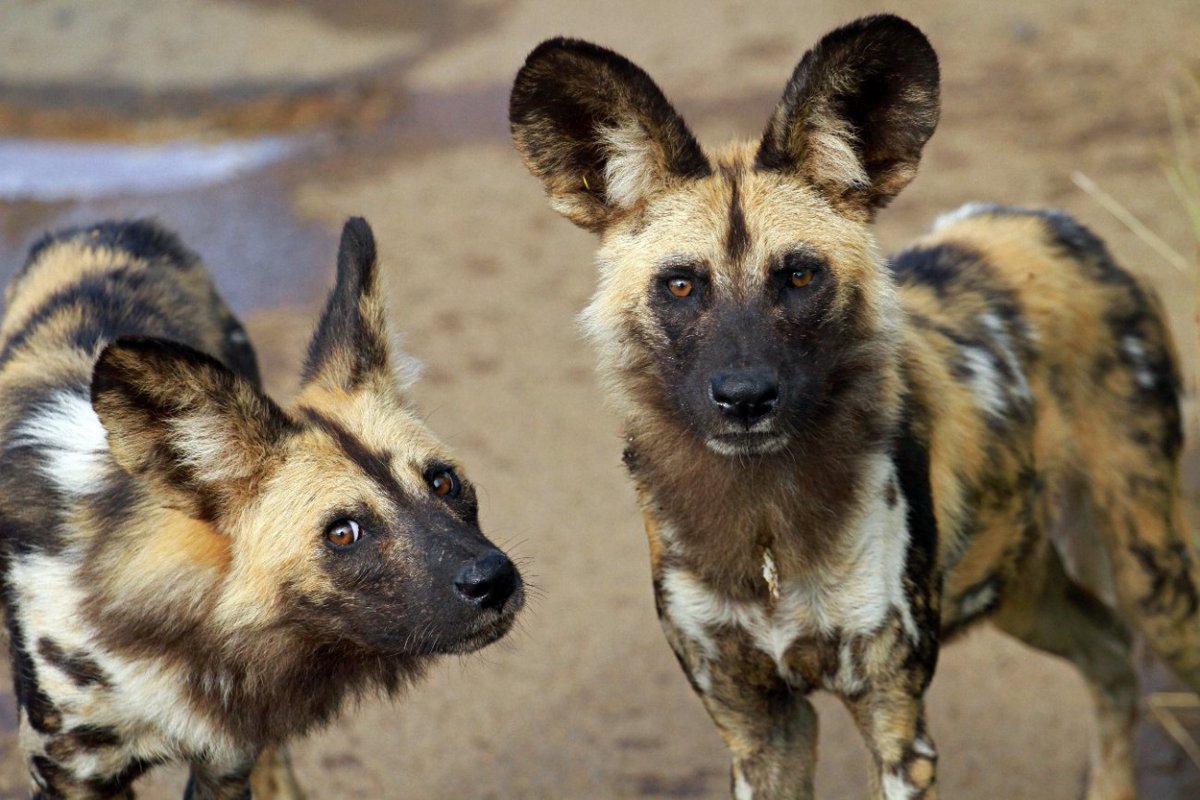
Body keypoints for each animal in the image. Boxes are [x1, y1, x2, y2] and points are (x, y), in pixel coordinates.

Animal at [1, 215, 525, 796]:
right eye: (343, 532)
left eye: (443, 483)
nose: (493, 579)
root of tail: (112, 224)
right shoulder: (71, 776)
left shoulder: (227, 761)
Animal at [511, 12, 1200, 800]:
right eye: (682, 285)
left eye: (800, 276)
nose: (745, 398)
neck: (767, 529)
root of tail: (1058, 223)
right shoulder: (758, 726)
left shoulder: (895, 722)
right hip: (1020, 585)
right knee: (1110, 650)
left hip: (1153, 579)